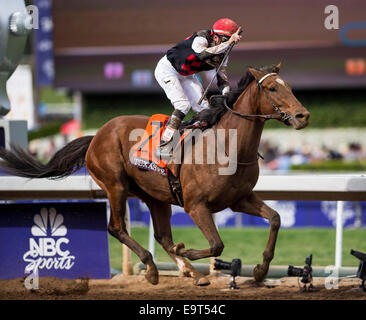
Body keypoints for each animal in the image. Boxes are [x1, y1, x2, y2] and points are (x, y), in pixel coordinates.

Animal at [0, 62, 308, 284]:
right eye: (272, 88)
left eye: (290, 87)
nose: (303, 116)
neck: (228, 146)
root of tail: (96, 135)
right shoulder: (196, 205)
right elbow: (217, 244)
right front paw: (188, 252)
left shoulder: (239, 199)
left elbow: (275, 218)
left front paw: (260, 269)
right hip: (115, 186)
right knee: (117, 228)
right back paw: (152, 267)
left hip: (156, 197)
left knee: (162, 235)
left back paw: (192, 273)